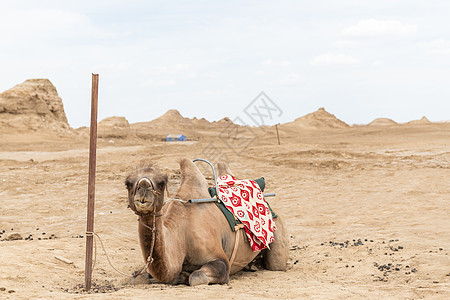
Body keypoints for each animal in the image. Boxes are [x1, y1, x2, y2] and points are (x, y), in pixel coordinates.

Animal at [125, 158, 290, 284]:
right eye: (128, 183)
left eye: (161, 183)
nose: (143, 188)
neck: (181, 233)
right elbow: (139, 276)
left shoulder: (220, 259)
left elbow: (197, 277)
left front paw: (183, 276)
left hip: (277, 229)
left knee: (276, 264)